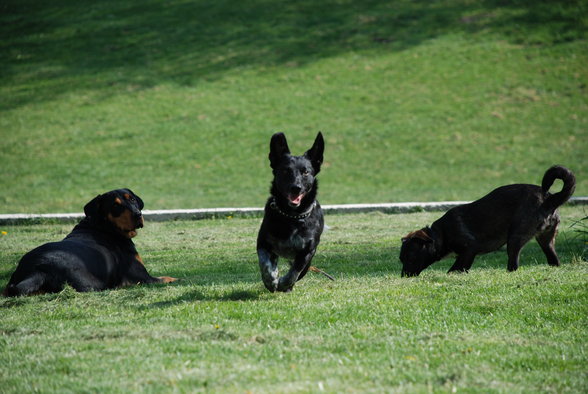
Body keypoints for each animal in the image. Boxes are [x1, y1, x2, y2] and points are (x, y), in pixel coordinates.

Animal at [3, 189, 177, 298]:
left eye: (132, 199)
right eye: (115, 205)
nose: (137, 214)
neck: (103, 226)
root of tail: (40, 270)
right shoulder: (142, 277)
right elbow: (170, 278)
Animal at [258, 132, 326, 292]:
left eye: (306, 172)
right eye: (285, 170)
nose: (296, 187)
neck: (292, 217)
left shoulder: (307, 251)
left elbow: (295, 271)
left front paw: (284, 283)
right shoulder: (263, 242)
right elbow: (265, 263)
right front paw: (270, 280)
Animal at [400, 166, 576, 278]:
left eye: (410, 257)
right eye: (401, 259)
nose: (403, 277)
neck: (440, 235)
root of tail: (549, 198)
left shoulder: (469, 249)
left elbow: (454, 269)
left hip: (515, 238)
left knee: (513, 265)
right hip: (546, 240)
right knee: (554, 260)